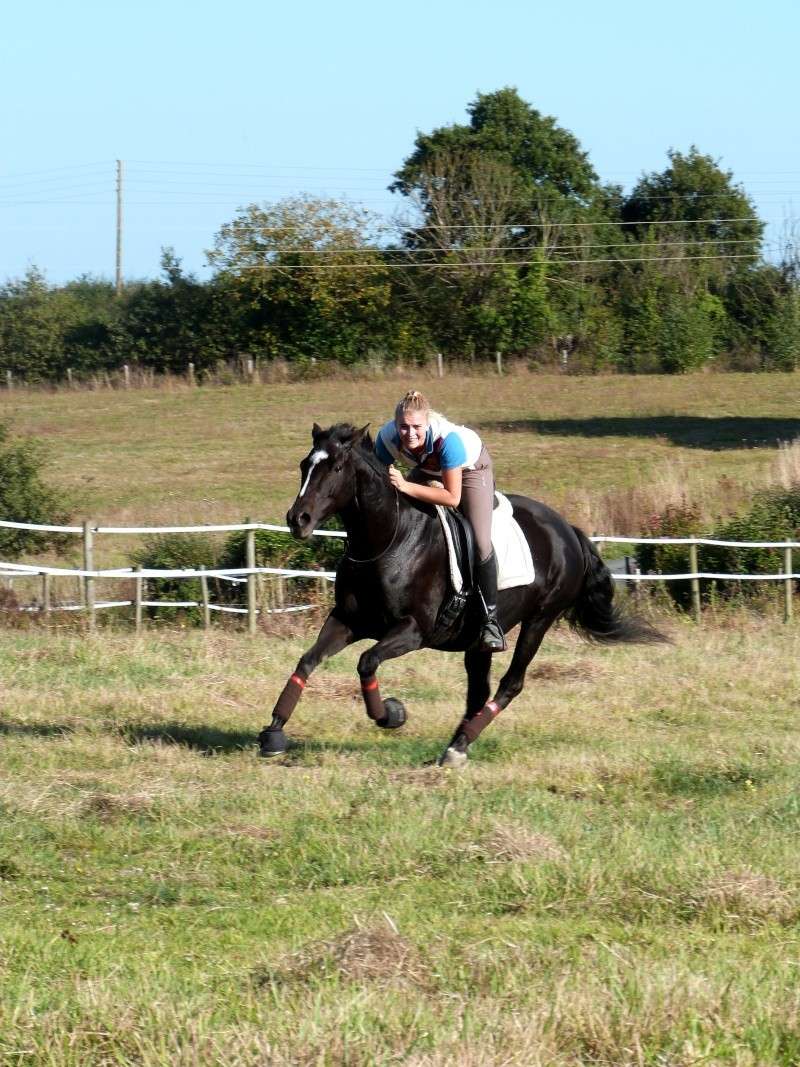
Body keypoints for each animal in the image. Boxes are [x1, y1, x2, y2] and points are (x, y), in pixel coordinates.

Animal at [258, 422, 665, 768]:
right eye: (305, 465)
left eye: (338, 467)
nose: (298, 519)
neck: (387, 539)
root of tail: (568, 530)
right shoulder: (348, 621)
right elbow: (307, 662)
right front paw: (273, 733)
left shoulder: (412, 631)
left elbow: (366, 662)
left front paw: (390, 713)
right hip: (476, 640)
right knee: (478, 691)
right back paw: (457, 746)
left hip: (539, 620)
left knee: (510, 684)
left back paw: (458, 744)